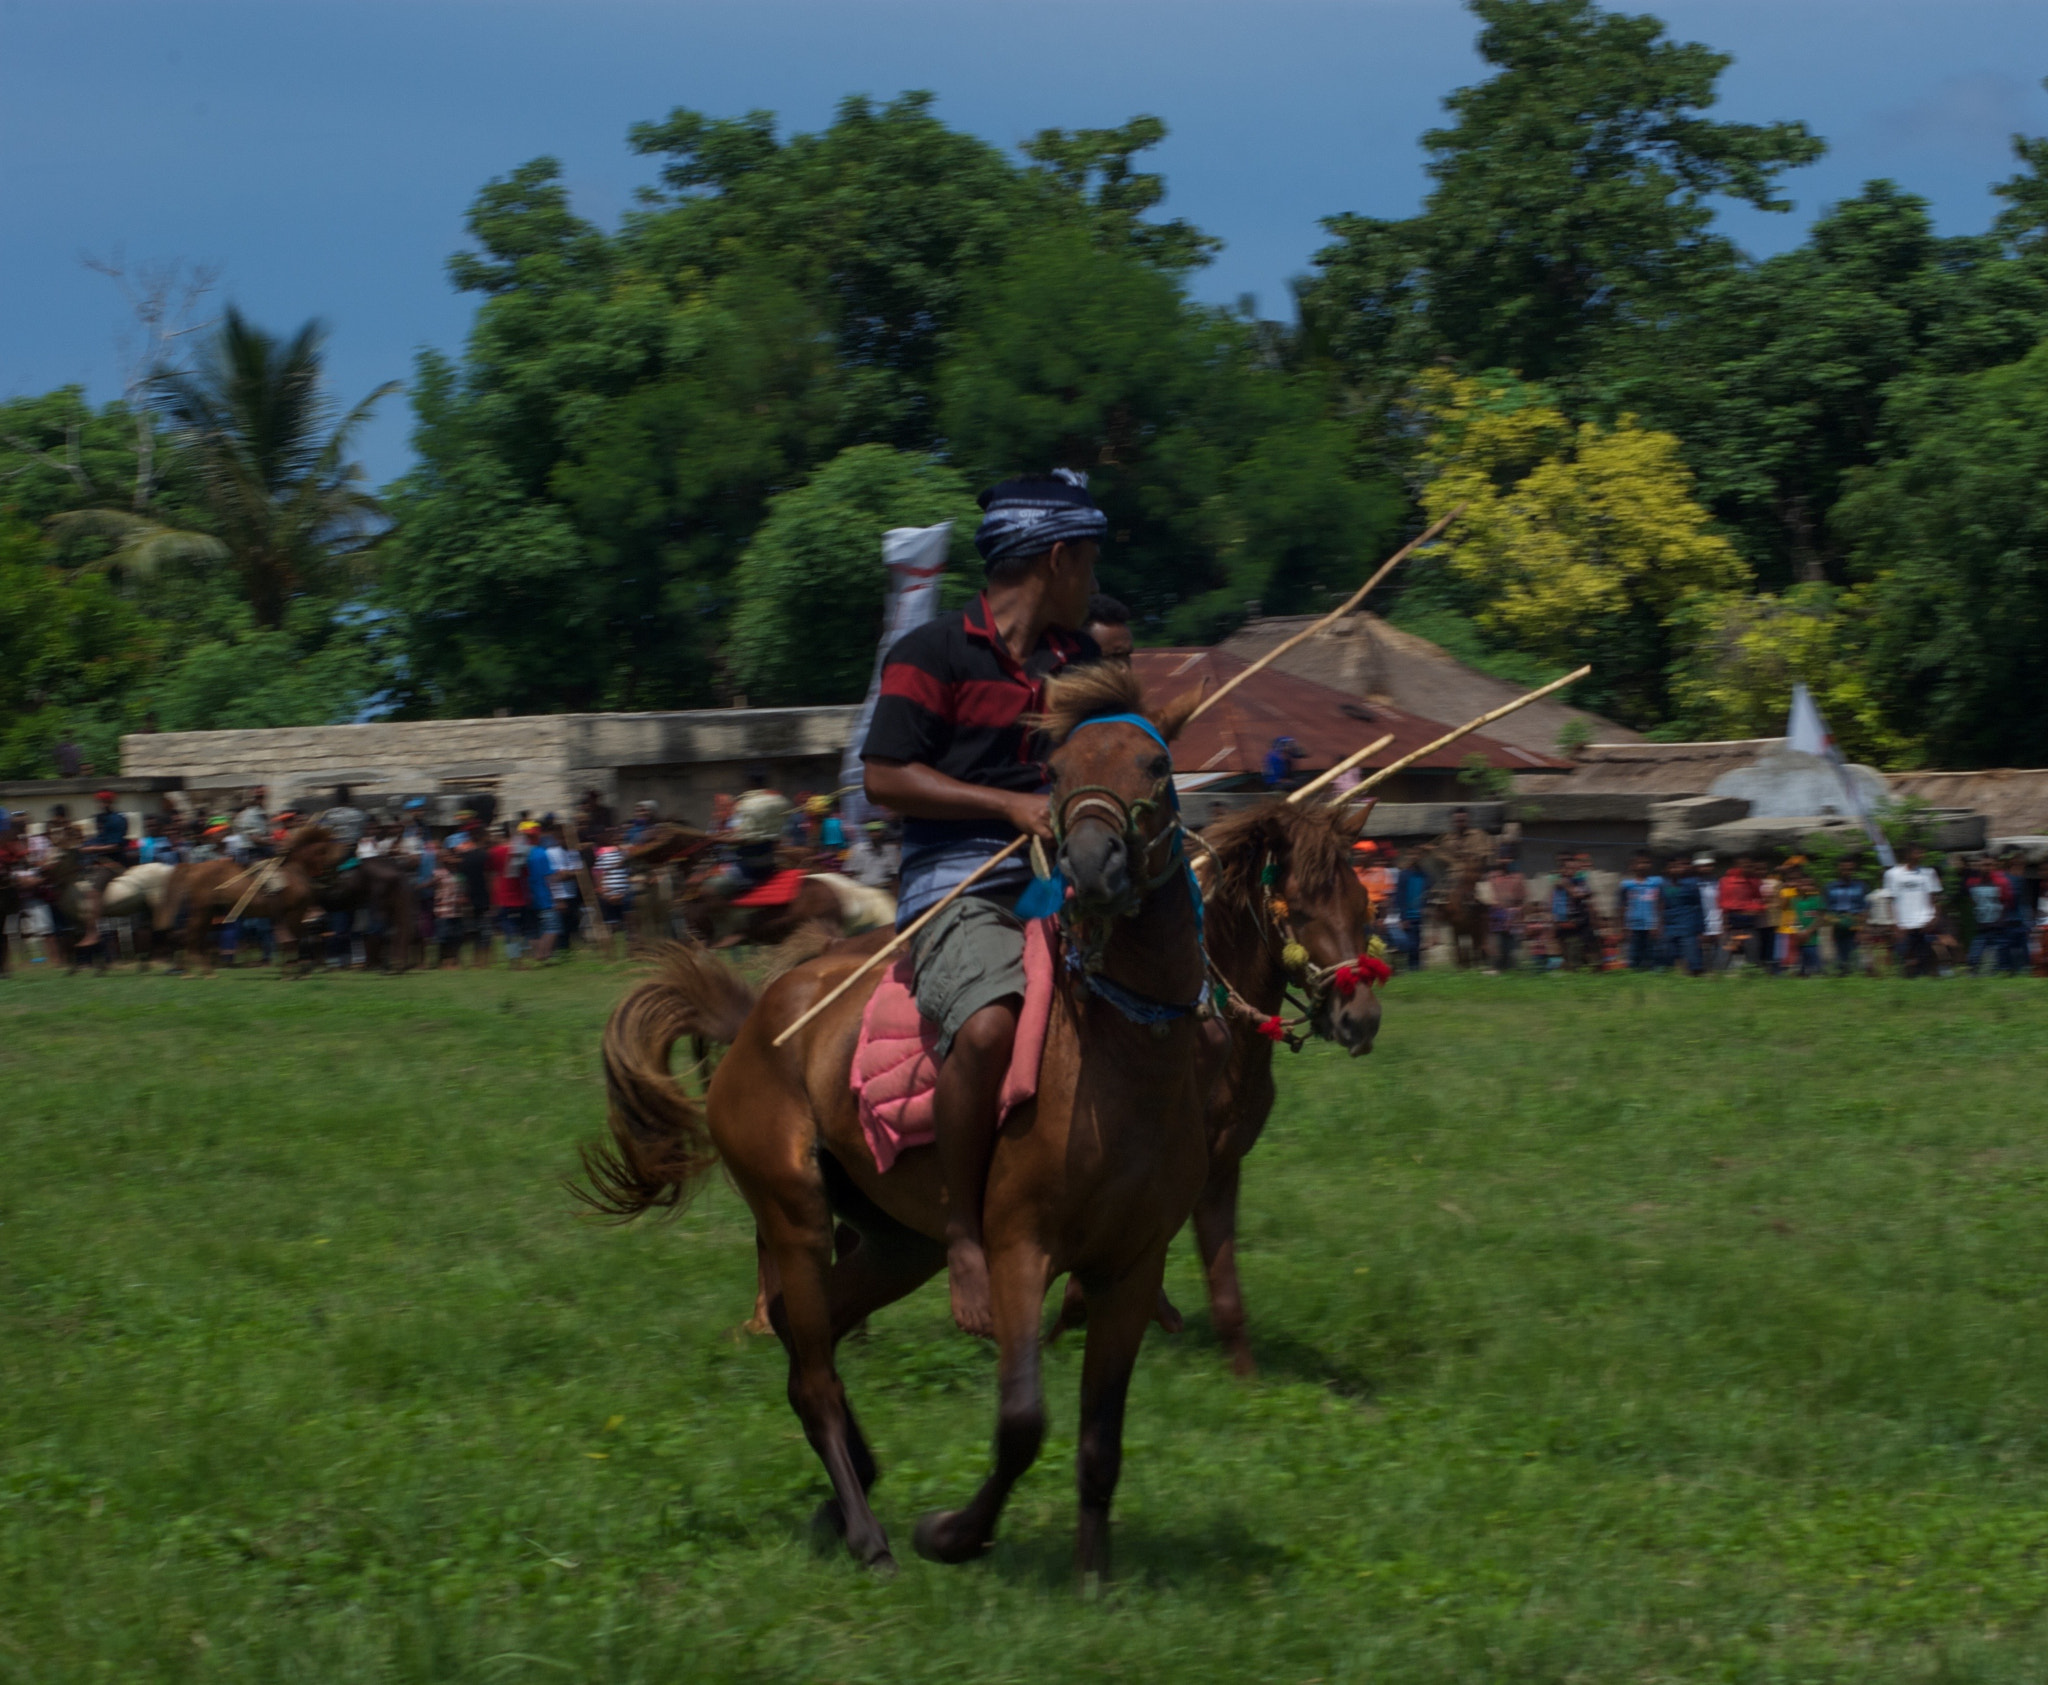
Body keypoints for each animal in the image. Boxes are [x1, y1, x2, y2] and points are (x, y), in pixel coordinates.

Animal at [157, 831, 344, 974]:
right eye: (333, 860)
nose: (334, 886)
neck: (295, 871)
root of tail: (194, 868)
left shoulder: (289, 916)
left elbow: (297, 939)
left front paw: (299, 967)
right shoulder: (293, 913)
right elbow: (296, 940)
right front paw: (296, 968)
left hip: (208, 913)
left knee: (191, 937)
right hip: (202, 911)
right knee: (190, 937)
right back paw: (201, 970)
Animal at [585, 667, 1204, 1580]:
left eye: (1156, 766)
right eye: (1055, 773)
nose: (1092, 864)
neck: (1120, 1054)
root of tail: (756, 1019)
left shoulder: (1131, 1265)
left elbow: (1101, 1442)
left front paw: (1095, 1575)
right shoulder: (1020, 1249)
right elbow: (1023, 1424)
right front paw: (952, 1533)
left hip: (895, 1242)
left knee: (808, 1339)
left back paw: (852, 1489)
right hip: (797, 1211)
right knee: (809, 1368)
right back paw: (869, 1532)